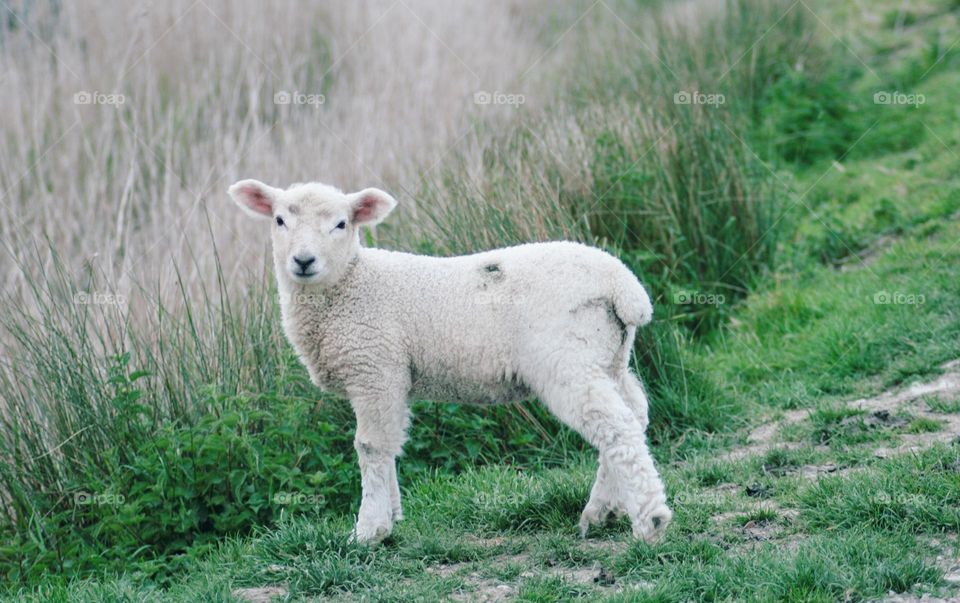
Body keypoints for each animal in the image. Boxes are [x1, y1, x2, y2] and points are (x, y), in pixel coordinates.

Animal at [228, 179, 672, 544]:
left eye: (341, 224)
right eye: (280, 220)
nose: (303, 261)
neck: (351, 284)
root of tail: (623, 286)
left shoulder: (374, 368)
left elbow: (370, 446)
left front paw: (368, 530)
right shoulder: (393, 377)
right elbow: (391, 443)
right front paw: (392, 517)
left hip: (567, 359)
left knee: (615, 427)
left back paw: (650, 522)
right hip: (608, 356)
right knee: (633, 413)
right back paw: (601, 511)